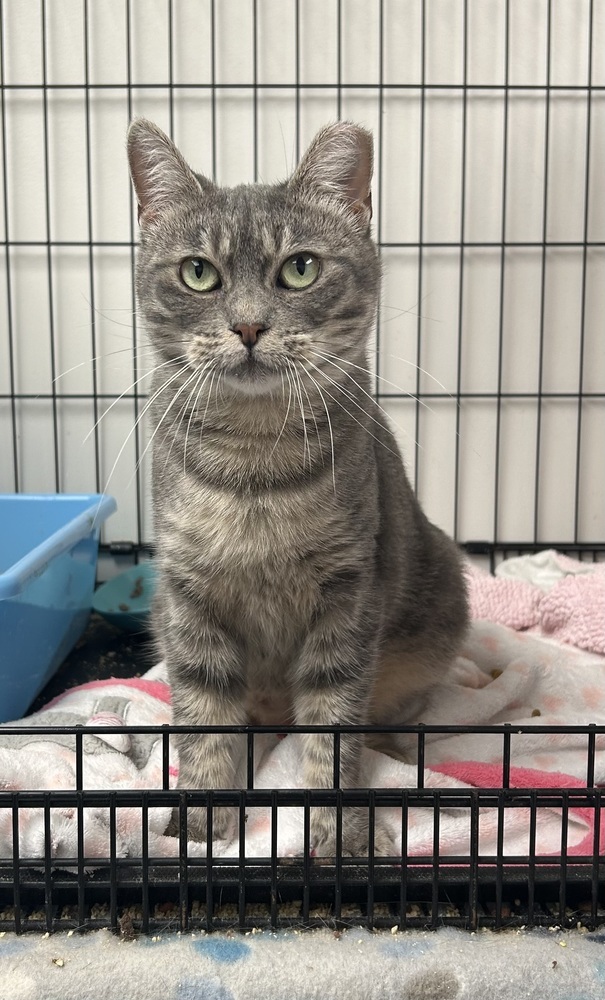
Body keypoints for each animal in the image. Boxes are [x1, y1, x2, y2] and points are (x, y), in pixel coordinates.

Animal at [126, 115, 468, 852]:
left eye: (300, 268)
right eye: (198, 273)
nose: (249, 325)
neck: (255, 464)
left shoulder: (348, 593)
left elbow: (333, 724)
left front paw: (339, 830)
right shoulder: (189, 599)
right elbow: (205, 723)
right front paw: (203, 821)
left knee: (390, 717)